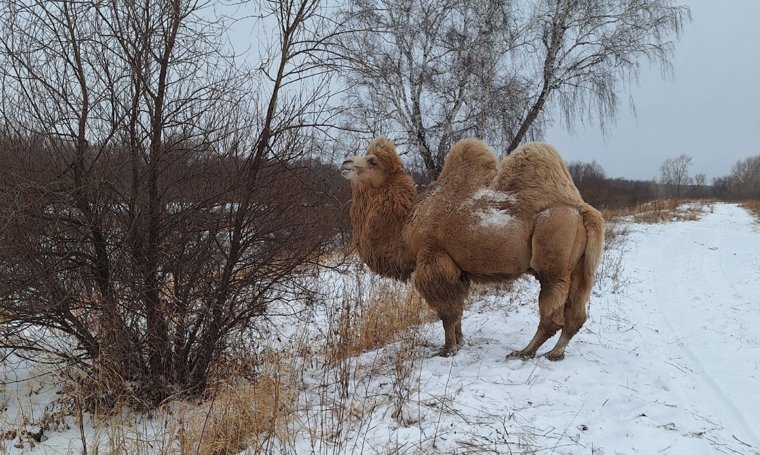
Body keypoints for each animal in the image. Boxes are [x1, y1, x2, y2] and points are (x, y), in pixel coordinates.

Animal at [342, 137, 604, 362]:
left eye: (372, 161)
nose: (345, 163)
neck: (407, 223)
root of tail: (584, 212)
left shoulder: (433, 260)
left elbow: (447, 312)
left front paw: (447, 350)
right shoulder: (459, 269)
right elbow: (458, 310)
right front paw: (460, 343)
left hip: (553, 262)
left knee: (552, 316)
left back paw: (524, 352)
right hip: (581, 268)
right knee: (576, 315)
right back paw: (554, 353)